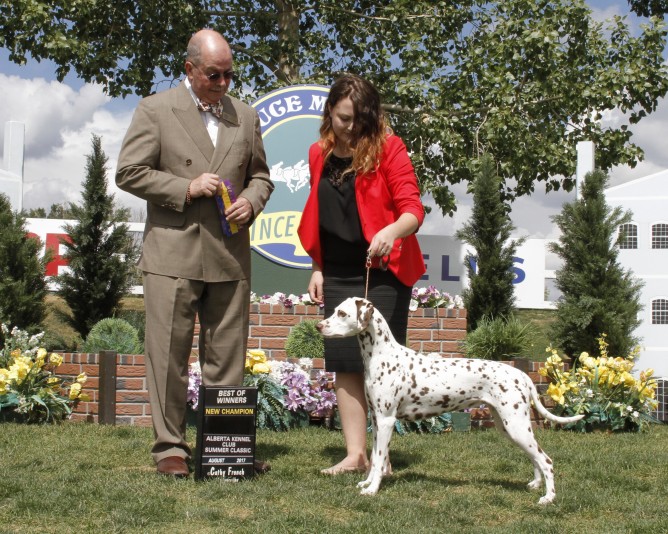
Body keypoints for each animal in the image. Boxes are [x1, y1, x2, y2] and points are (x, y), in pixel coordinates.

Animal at [316, 298, 580, 506]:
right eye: (335, 310)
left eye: (342, 313)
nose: (319, 325)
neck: (382, 356)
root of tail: (522, 374)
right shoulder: (376, 419)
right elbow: (374, 460)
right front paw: (367, 483)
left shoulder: (386, 421)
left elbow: (379, 459)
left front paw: (373, 490)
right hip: (510, 427)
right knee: (535, 458)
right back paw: (535, 485)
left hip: (516, 426)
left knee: (546, 460)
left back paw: (548, 498)